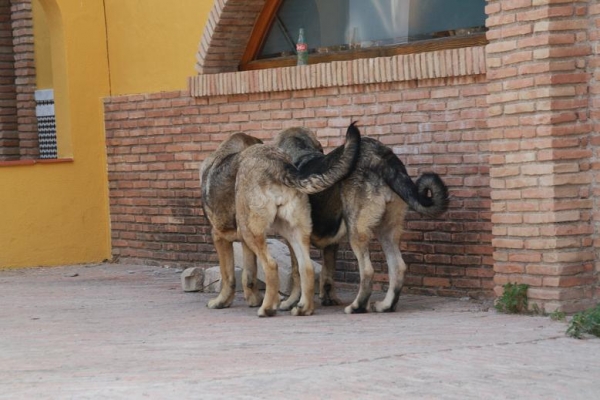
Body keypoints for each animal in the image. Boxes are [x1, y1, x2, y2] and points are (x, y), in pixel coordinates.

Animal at [274, 125, 448, 312]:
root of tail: (381, 156)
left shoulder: (294, 240)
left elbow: (297, 273)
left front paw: (291, 302)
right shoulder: (331, 243)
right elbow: (328, 273)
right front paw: (329, 299)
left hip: (356, 231)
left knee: (367, 271)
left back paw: (357, 306)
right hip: (387, 230)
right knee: (398, 267)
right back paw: (386, 305)